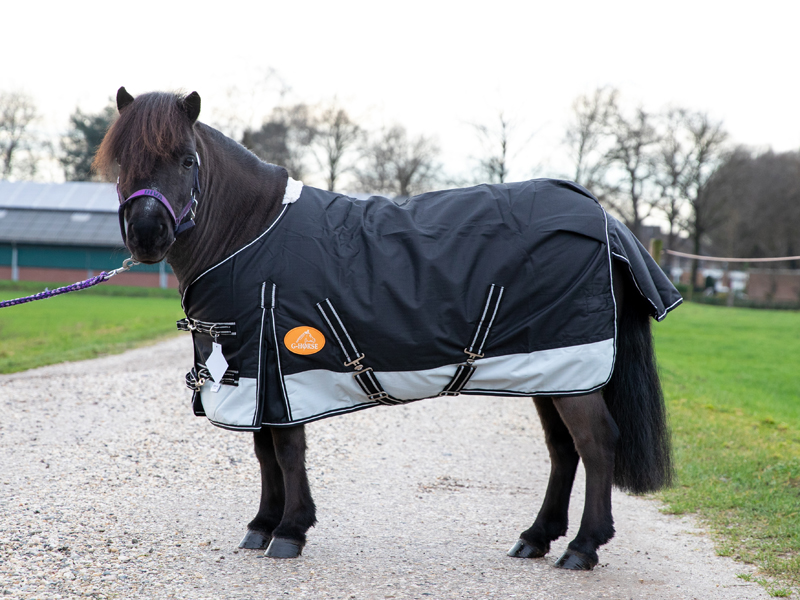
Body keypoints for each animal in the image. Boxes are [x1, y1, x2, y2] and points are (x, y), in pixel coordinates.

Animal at [94, 86, 672, 568]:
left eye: (187, 159)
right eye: (123, 161)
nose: (147, 234)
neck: (251, 233)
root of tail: (602, 215)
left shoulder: (278, 367)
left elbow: (287, 450)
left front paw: (290, 532)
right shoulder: (256, 374)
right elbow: (265, 452)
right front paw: (262, 525)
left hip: (572, 367)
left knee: (596, 442)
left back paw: (583, 547)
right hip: (550, 370)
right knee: (562, 448)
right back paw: (535, 538)